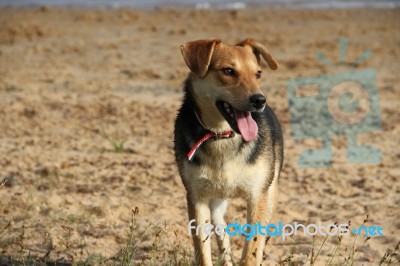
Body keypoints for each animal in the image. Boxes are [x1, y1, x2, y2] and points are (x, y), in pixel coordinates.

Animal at [173, 38, 282, 266]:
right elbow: (203, 252)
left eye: (258, 73)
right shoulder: (196, 197)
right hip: (216, 200)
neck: (222, 135)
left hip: (271, 192)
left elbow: (252, 250)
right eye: (228, 71)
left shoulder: (258, 196)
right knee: (220, 227)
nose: (260, 100)